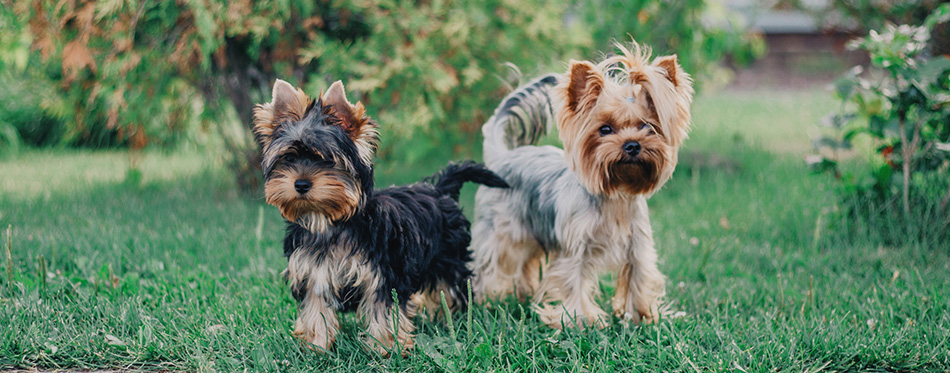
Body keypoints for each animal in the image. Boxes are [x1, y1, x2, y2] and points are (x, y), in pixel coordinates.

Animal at [251, 79, 506, 354]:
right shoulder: (312, 275)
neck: (329, 221)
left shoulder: (382, 274)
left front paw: (387, 348)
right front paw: (315, 347)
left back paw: (454, 318)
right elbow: (315, 310)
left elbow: (384, 311)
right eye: (288, 158)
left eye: (327, 160)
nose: (300, 184)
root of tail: (440, 190)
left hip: (448, 258)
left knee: (452, 288)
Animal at [472, 39, 696, 326]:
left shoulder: (638, 246)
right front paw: (579, 320)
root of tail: (502, 156)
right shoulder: (575, 247)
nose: (632, 145)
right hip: (499, 232)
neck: (616, 193)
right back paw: (480, 301)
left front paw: (643, 316)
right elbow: (573, 280)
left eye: (648, 127)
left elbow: (639, 278)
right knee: (488, 264)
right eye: (605, 129)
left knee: (525, 263)